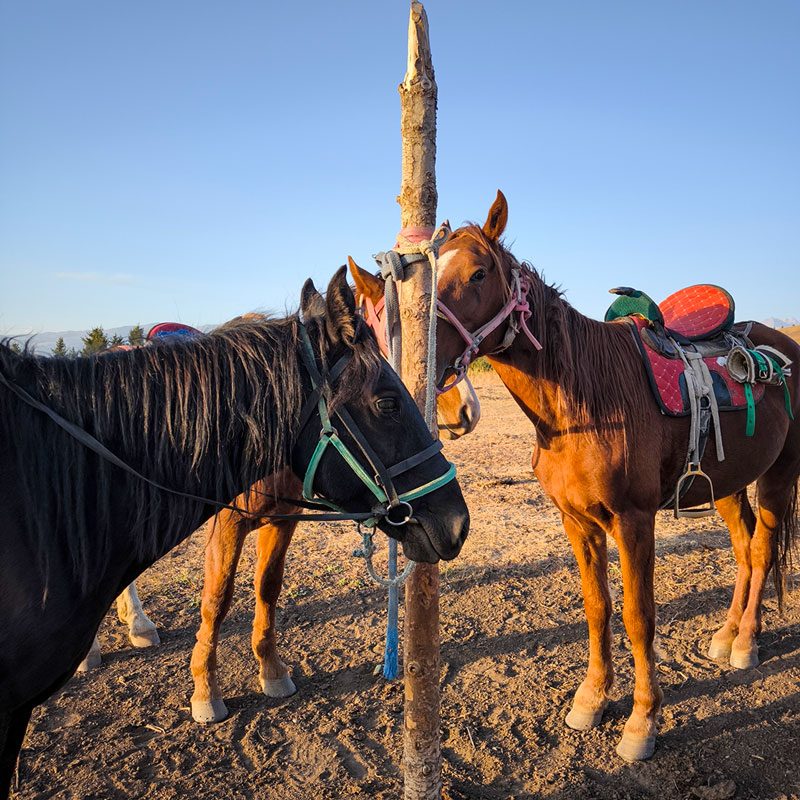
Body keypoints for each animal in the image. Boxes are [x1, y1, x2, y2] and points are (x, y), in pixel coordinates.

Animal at [0, 267, 469, 796]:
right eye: (387, 401)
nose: (457, 523)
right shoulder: (227, 523)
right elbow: (218, 600)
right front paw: (206, 690)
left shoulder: (281, 522)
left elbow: (268, 590)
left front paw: (271, 669)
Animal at [431, 191, 800, 762]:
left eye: (477, 273)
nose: (427, 359)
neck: (581, 402)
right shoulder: (577, 522)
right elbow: (598, 608)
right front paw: (592, 699)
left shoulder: (634, 521)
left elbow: (638, 617)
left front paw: (642, 721)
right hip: (728, 484)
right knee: (742, 548)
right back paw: (726, 633)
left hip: (779, 477)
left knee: (761, 552)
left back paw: (745, 642)